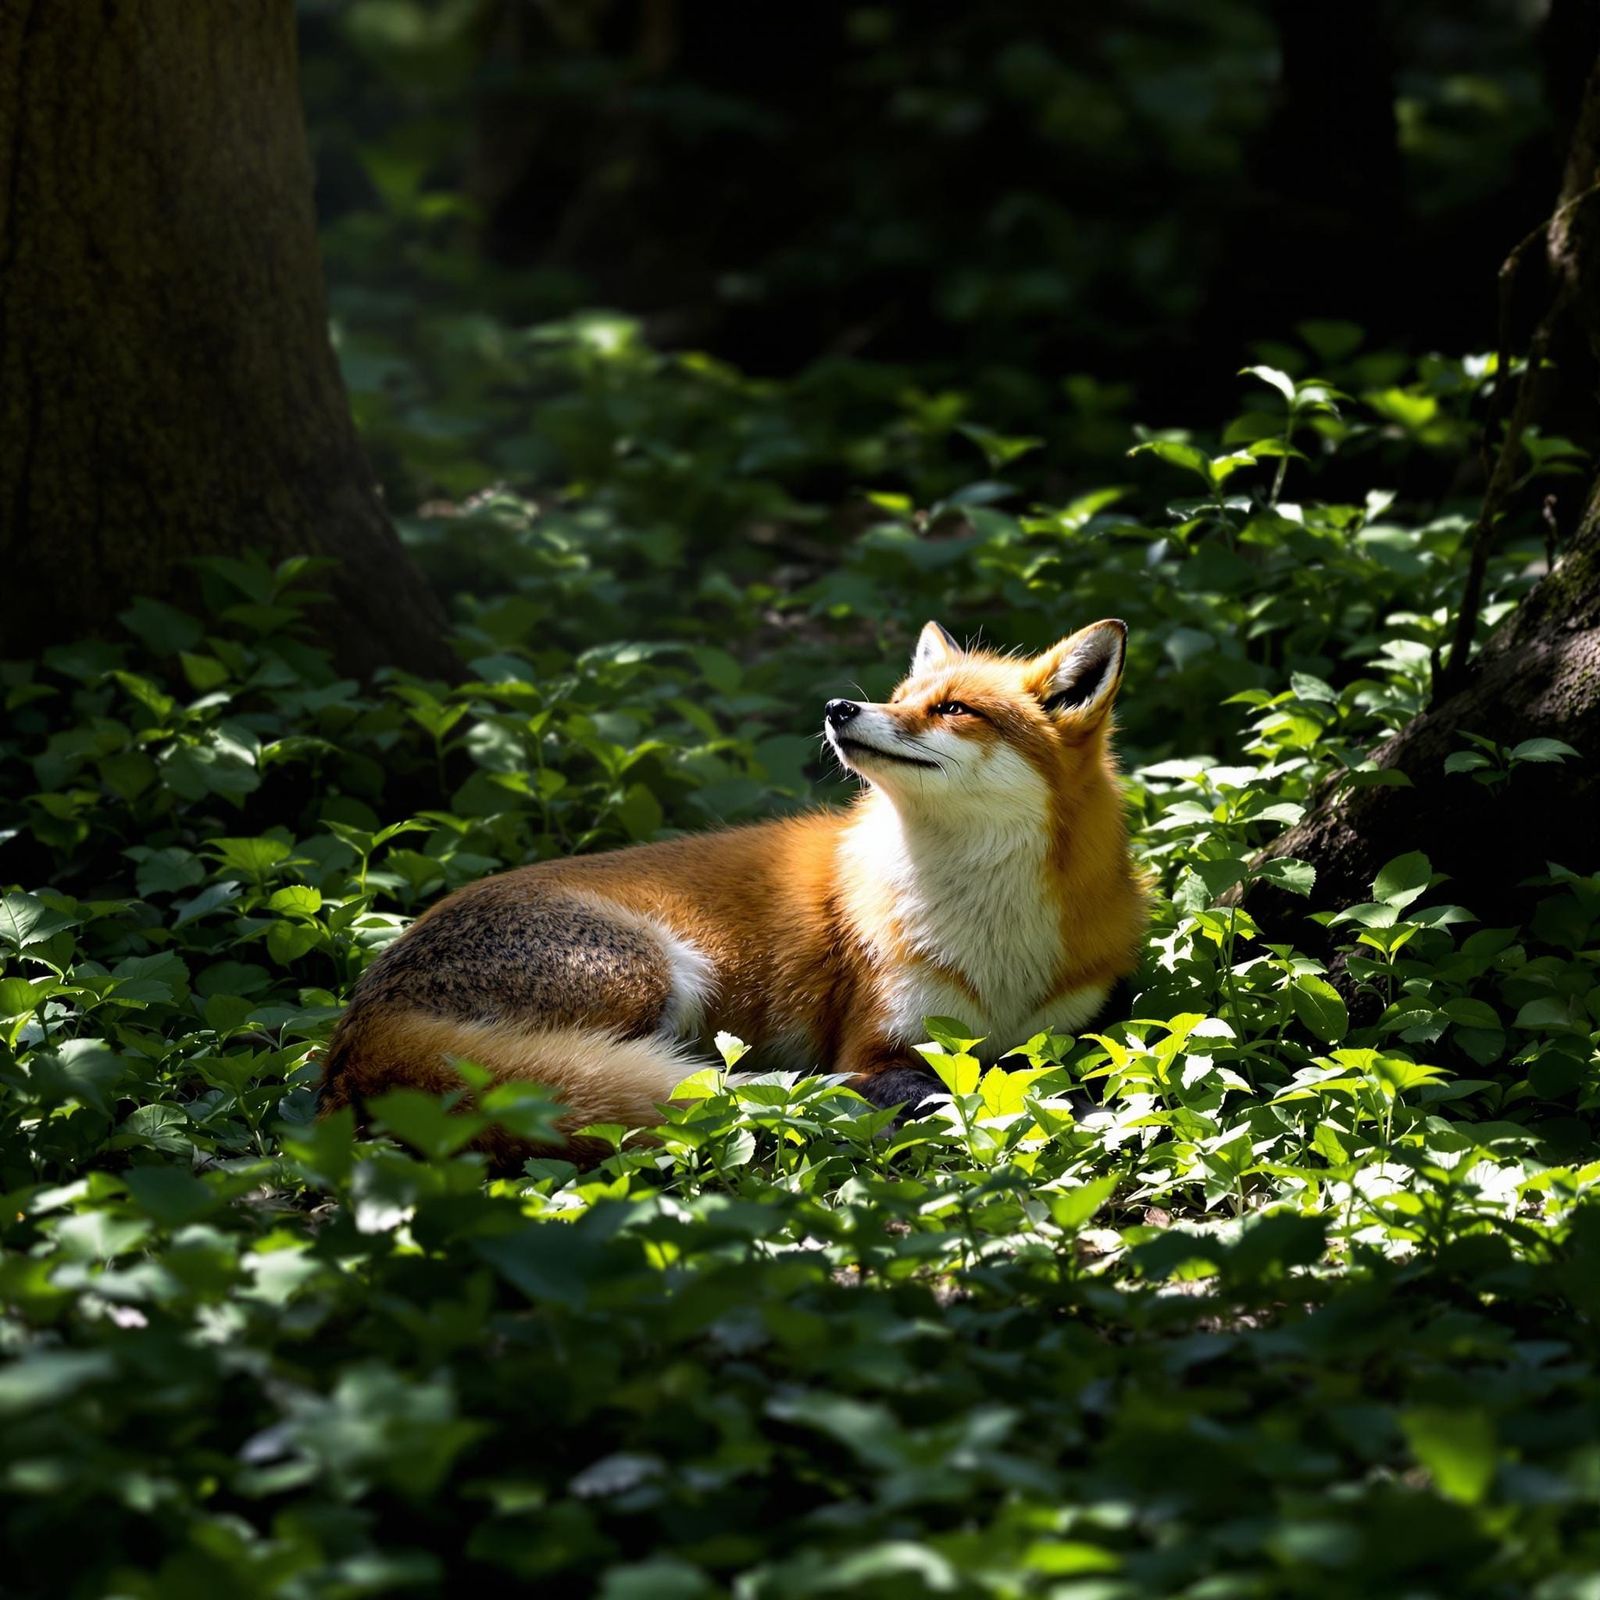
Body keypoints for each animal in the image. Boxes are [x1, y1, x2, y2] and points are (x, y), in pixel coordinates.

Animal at [317, 619, 1147, 1167]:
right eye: (900, 694)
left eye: (952, 709)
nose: (838, 709)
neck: (994, 938)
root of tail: (357, 1026)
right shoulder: (875, 1045)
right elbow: (964, 1091)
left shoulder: (1071, 1032)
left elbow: (1064, 1076)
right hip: (658, 975)